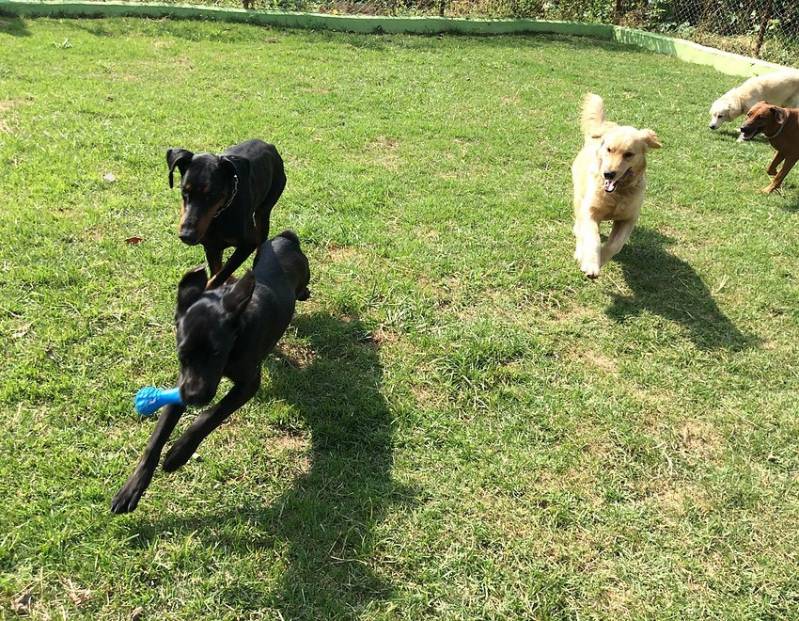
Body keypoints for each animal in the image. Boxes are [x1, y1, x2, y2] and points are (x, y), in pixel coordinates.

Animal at [111, 230, 310, 512]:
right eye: (182, 354)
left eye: (216, 353)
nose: (194, 397)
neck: (238, 335)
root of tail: (286, 238)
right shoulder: (183, 382)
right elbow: (157, 437)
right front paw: (132, 488)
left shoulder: (249, 383)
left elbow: (211, 415)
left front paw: (178, 453)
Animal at [167, 138, 286, 288]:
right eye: (184, 191)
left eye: (211, 194)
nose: (187, 235)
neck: (220, 214)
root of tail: (268, 145)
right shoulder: (211, 246)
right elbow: (217, 272)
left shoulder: (248, 244)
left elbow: (220, 275)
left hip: (265, 209)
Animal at [576, 94, 664, 278]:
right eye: (609, 149)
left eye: (628, 154)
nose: (608, 174)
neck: (617, 194)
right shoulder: (590, 212)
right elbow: (593, 239)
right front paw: (591, 264)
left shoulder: (628, 219)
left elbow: (615, 245)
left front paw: (601, 260)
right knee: (579, 228)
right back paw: (580, 252)